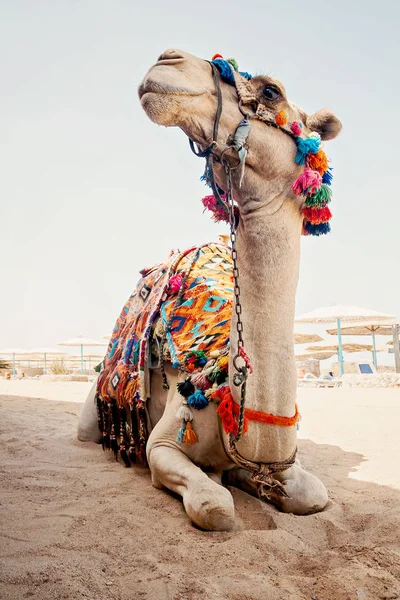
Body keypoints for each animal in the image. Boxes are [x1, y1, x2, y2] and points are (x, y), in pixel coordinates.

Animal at [78, 49, 340, 532]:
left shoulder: (283, 460)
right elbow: (214, 506)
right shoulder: (164, 444)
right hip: (94, 408)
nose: (167, 60)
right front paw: (221, 486)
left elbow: (313, 496)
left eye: (271, 90)